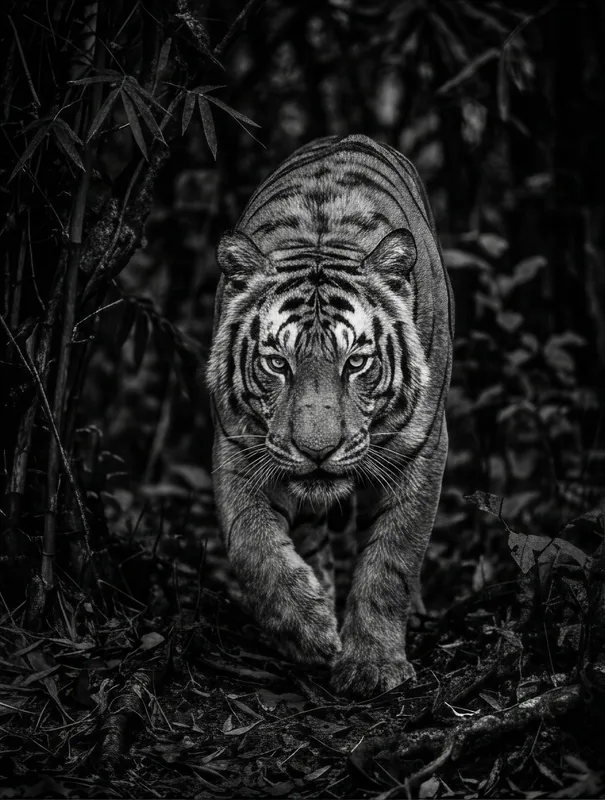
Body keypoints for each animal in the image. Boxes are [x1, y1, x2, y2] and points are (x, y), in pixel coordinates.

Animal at [206, 134, 454, 696]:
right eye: (278, 363)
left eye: (355, 363)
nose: (317, 451)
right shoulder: (237, 447)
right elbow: (252, 547)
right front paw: (311, 632)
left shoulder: (424, 447)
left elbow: (393, 560)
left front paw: (372, 664)